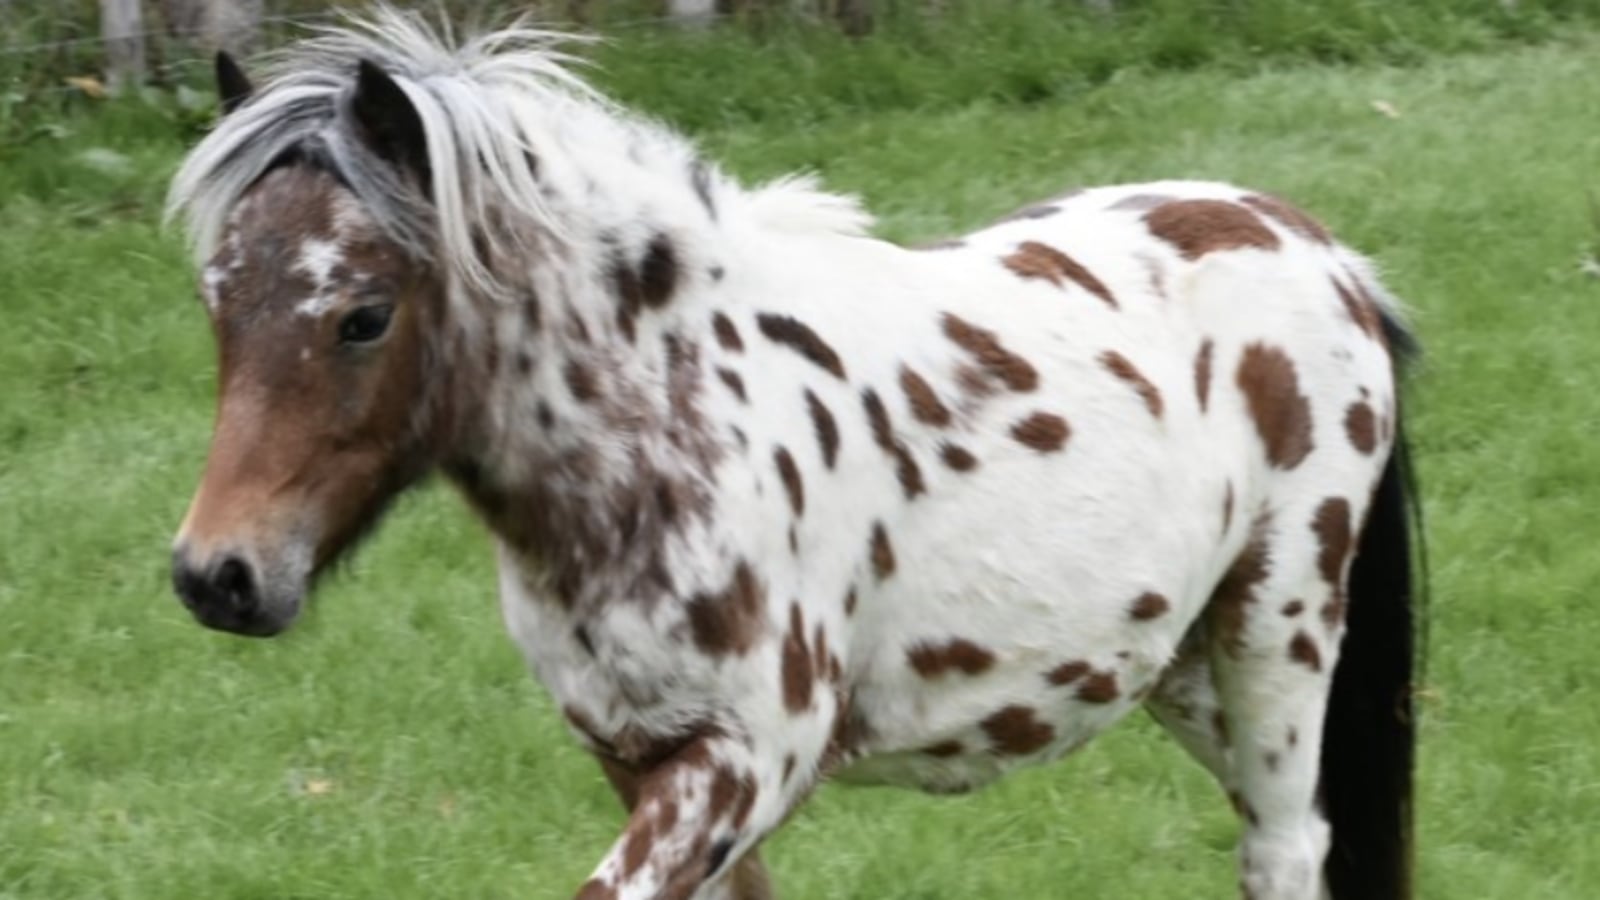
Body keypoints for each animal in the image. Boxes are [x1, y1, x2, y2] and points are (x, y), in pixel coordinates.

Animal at [165, 8, 1421, 899]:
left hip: (1277, 635)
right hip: (1173, 668)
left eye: (361, 316)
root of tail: (1327, 255)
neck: (668, 430)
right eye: (216, 303)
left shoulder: (748, 759)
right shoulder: (639, 757)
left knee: (1283, 849)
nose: (217, 576)